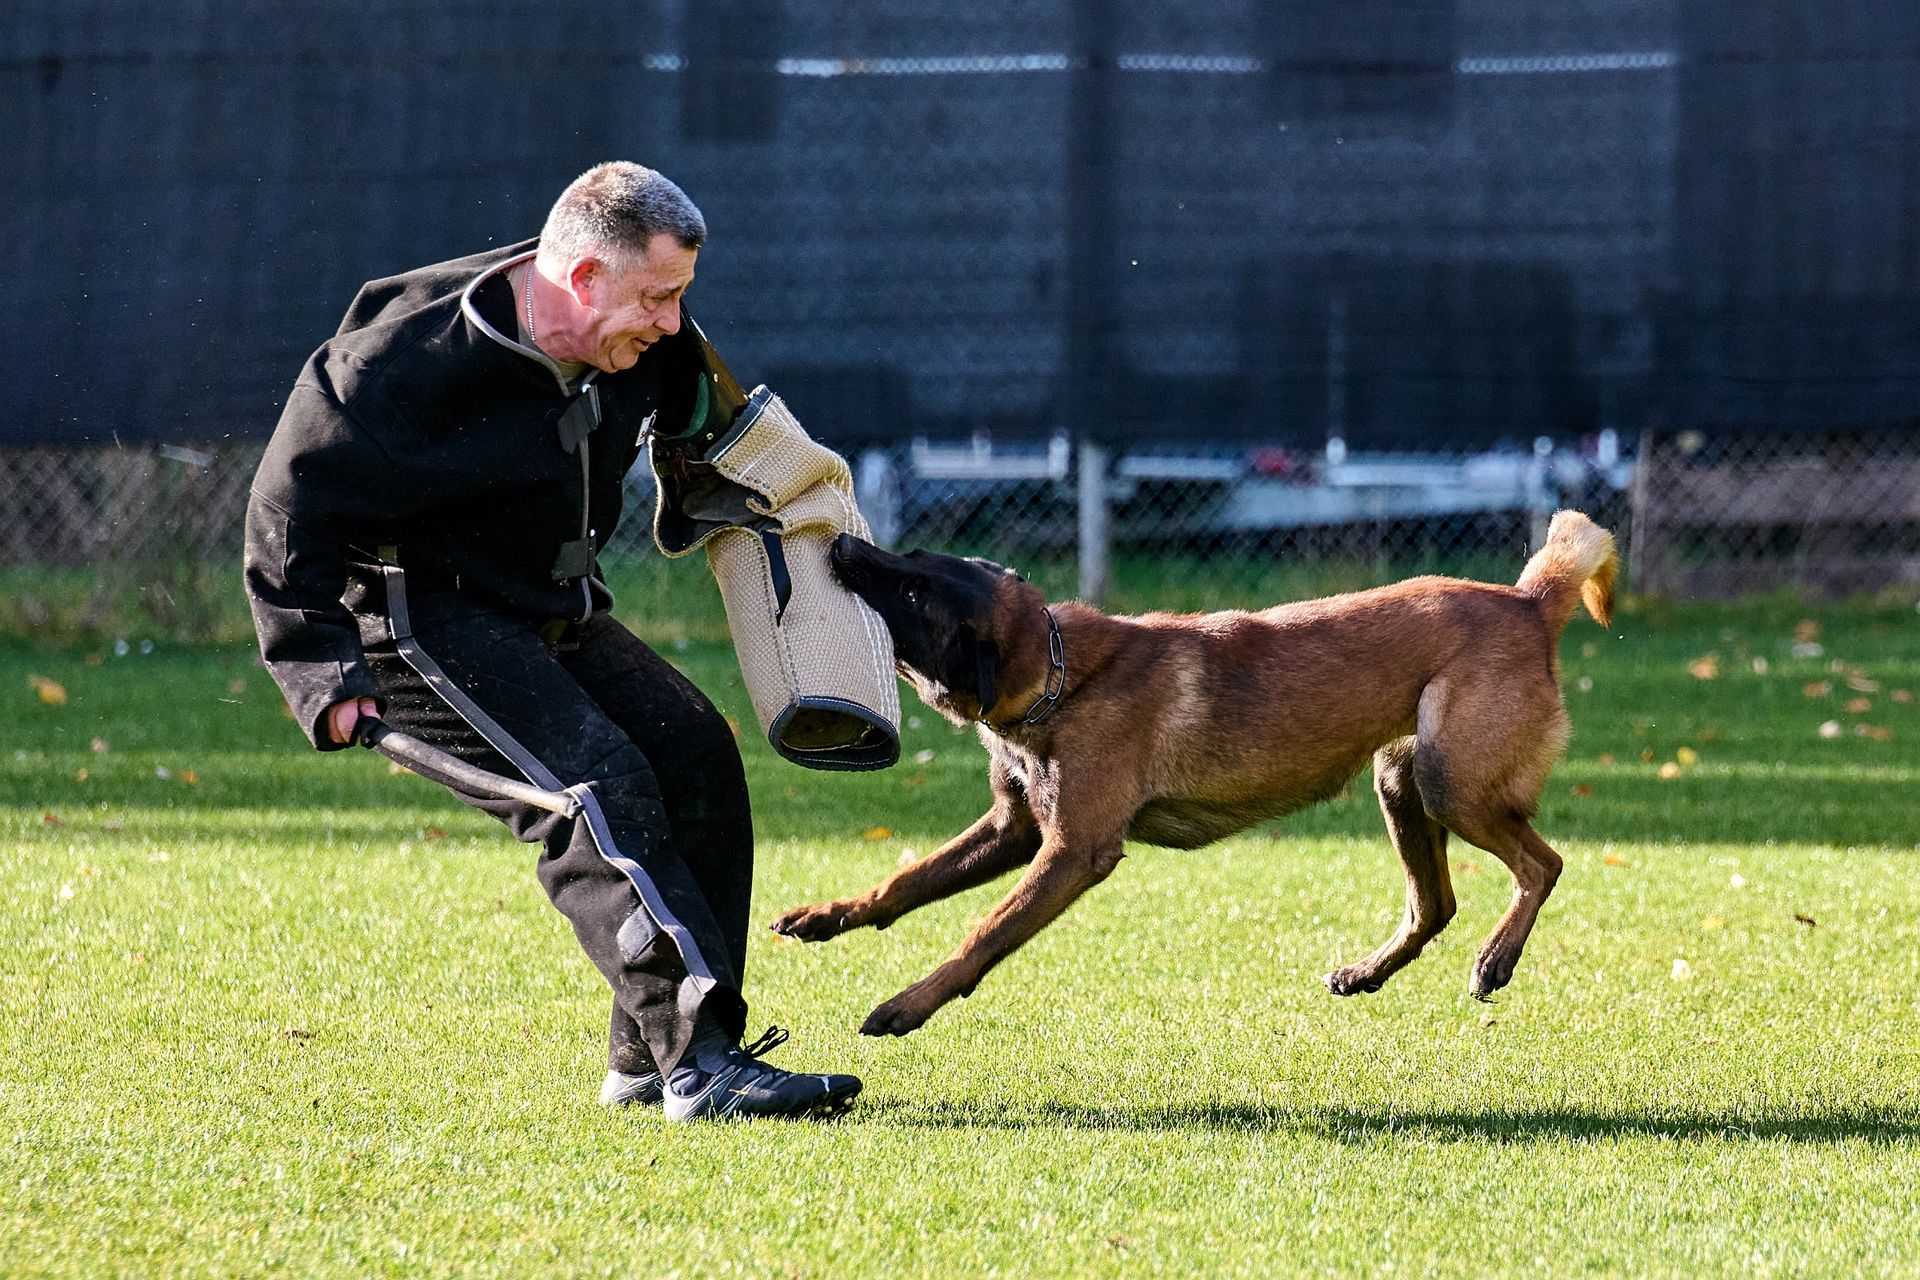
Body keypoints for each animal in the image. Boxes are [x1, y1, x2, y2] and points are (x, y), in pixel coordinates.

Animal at [772, 511, 1618, 1037]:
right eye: (911, 558)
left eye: (913, 592)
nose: (840, 548)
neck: (1057, 675)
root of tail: (1527, 602)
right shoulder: (1015, 830)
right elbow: (904, 882)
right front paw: (826, 916)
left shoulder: (1072, 852)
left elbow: (982, 934)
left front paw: (908, 1005)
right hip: (1399, 784)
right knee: (1435, 903)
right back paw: (1367, 974)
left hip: (1452, 784)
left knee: (1543, 865)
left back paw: (1496, 960)